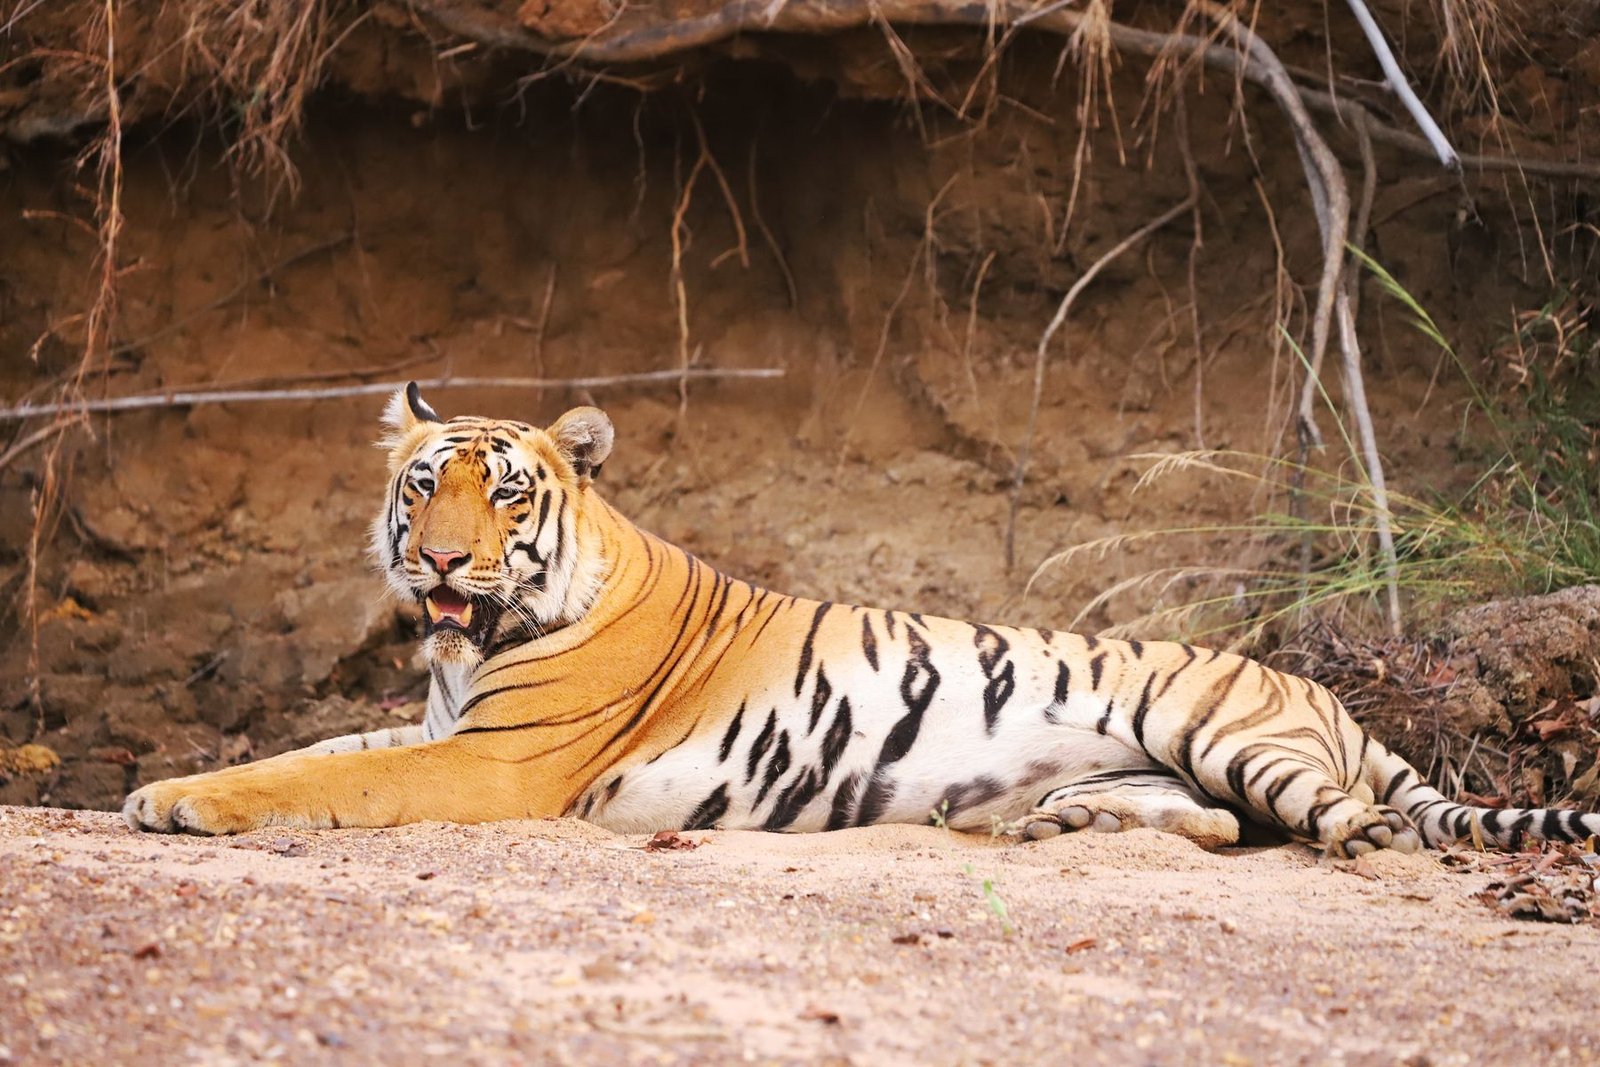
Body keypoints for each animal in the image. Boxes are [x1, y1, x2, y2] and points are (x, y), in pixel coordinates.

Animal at [123, 384, 1600, 857]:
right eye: (424, 485)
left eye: (504, 495)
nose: (438, 559)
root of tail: (1328, 696)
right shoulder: (441, 729)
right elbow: (313, 754)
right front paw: (158, 786)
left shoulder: (494, 761)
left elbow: (310, 779)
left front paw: (183, 803)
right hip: (1159, 767)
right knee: (1215, 822)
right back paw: (1041, 824)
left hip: (1221, 726)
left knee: (1339, 824)